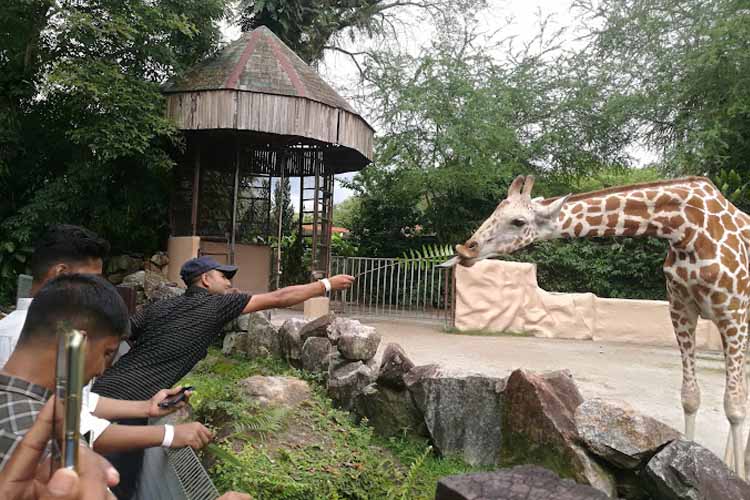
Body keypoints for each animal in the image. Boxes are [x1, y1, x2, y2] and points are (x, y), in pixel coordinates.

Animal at [452, 176, 750, 476]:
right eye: (495, 210)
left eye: (518, 221)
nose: (465, 249)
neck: (686, 230)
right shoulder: (681, 311)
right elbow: (691, 397)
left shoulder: (732, 313)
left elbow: (733, 406)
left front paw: (732, 477)